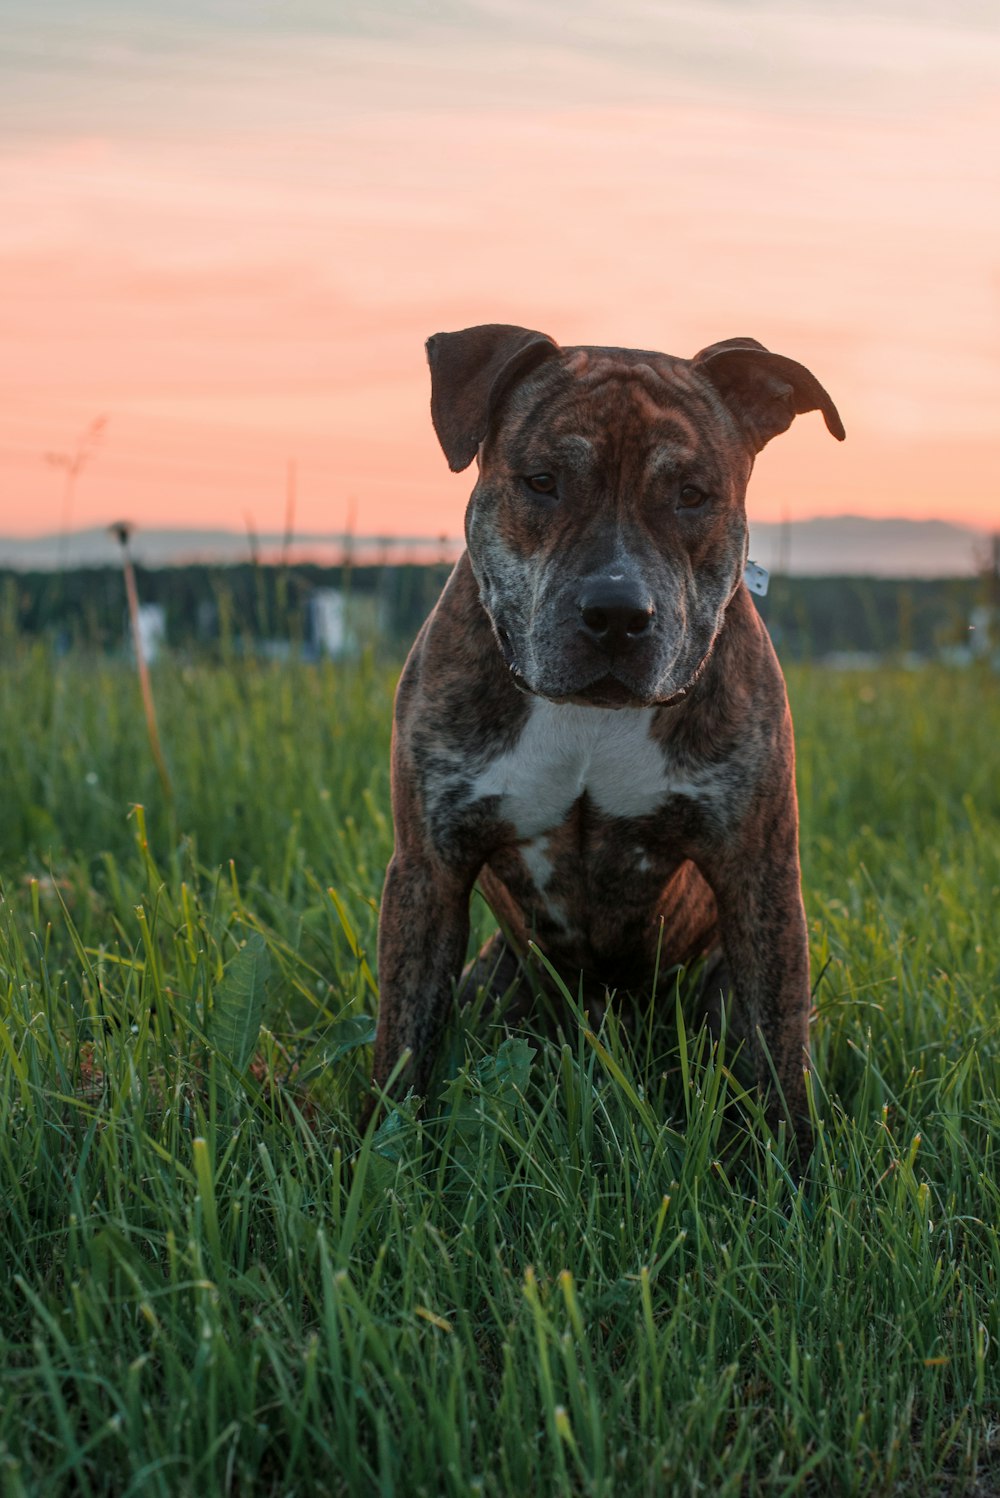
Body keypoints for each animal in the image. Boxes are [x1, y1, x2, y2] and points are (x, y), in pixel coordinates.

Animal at [371, 322, 838, 1150]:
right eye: (542, 481)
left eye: (692, 495)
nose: (617, 612)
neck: (591, 715)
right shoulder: (429, 867)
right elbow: (402, 1046)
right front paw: (376, 1155)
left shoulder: (758, 870)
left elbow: (778, 1055)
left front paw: (788, 1168)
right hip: (501, 978)